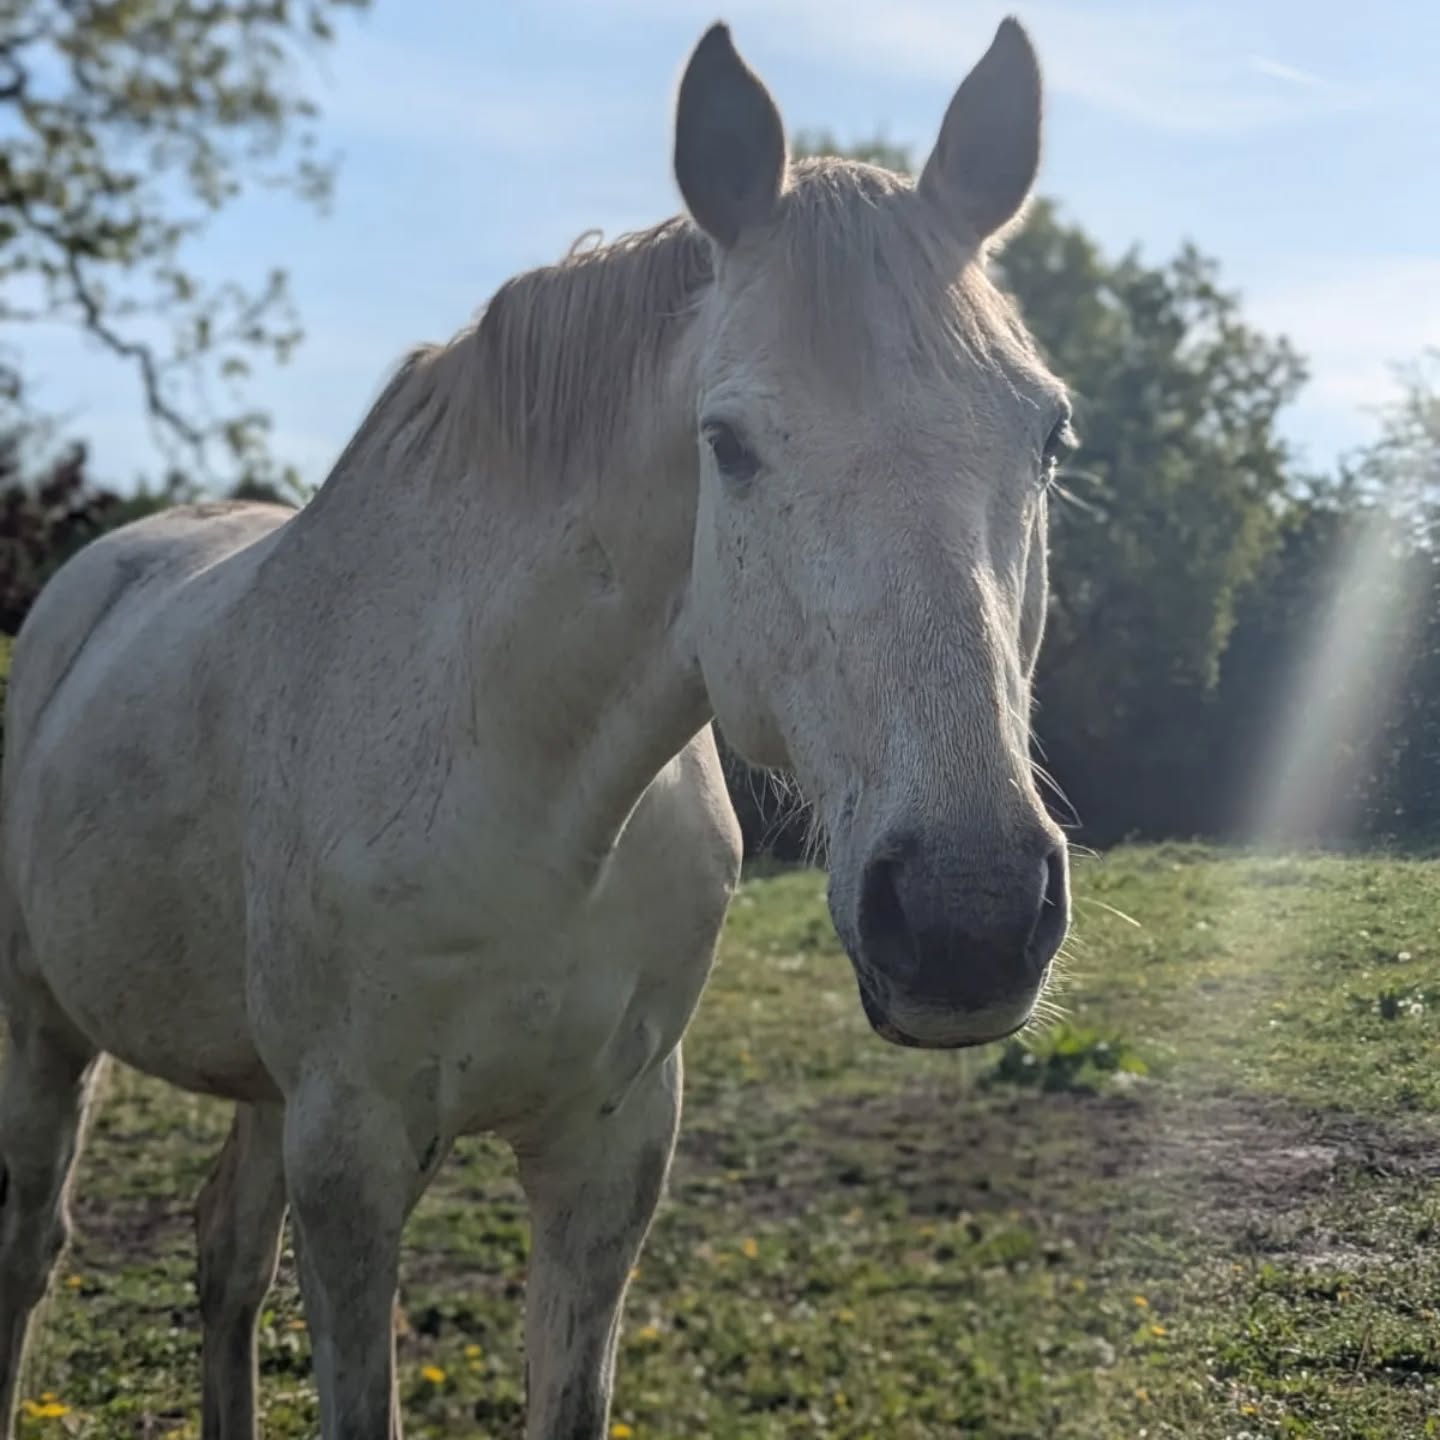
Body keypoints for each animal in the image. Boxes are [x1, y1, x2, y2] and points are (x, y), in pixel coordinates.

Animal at [0, 17, 1072, 1439]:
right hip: (44, 1034)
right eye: (728, 444)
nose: (969, 918)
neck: (526, 791)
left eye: (1048, 433)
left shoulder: (609, 1152)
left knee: (224, 1257)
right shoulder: (352, 1155)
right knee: (31, 1251)